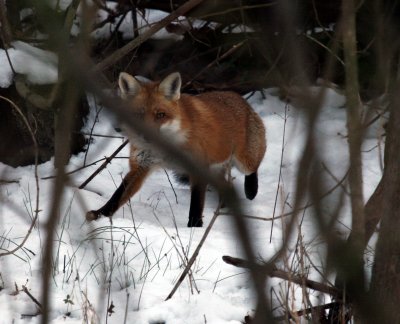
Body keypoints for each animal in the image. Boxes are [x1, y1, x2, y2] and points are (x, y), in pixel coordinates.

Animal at [86, 72, 266, 227]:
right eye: (138, 115)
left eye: (160, 115)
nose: (146, 135)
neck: (164, 149)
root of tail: (239, 97)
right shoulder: (141, 166)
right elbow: (117, 196)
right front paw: (100, 214)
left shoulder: (197, 166)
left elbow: (196, 203)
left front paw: (194, 227)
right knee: (226, 185)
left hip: (244, 160)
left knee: (253, 168)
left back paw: (251, 190)